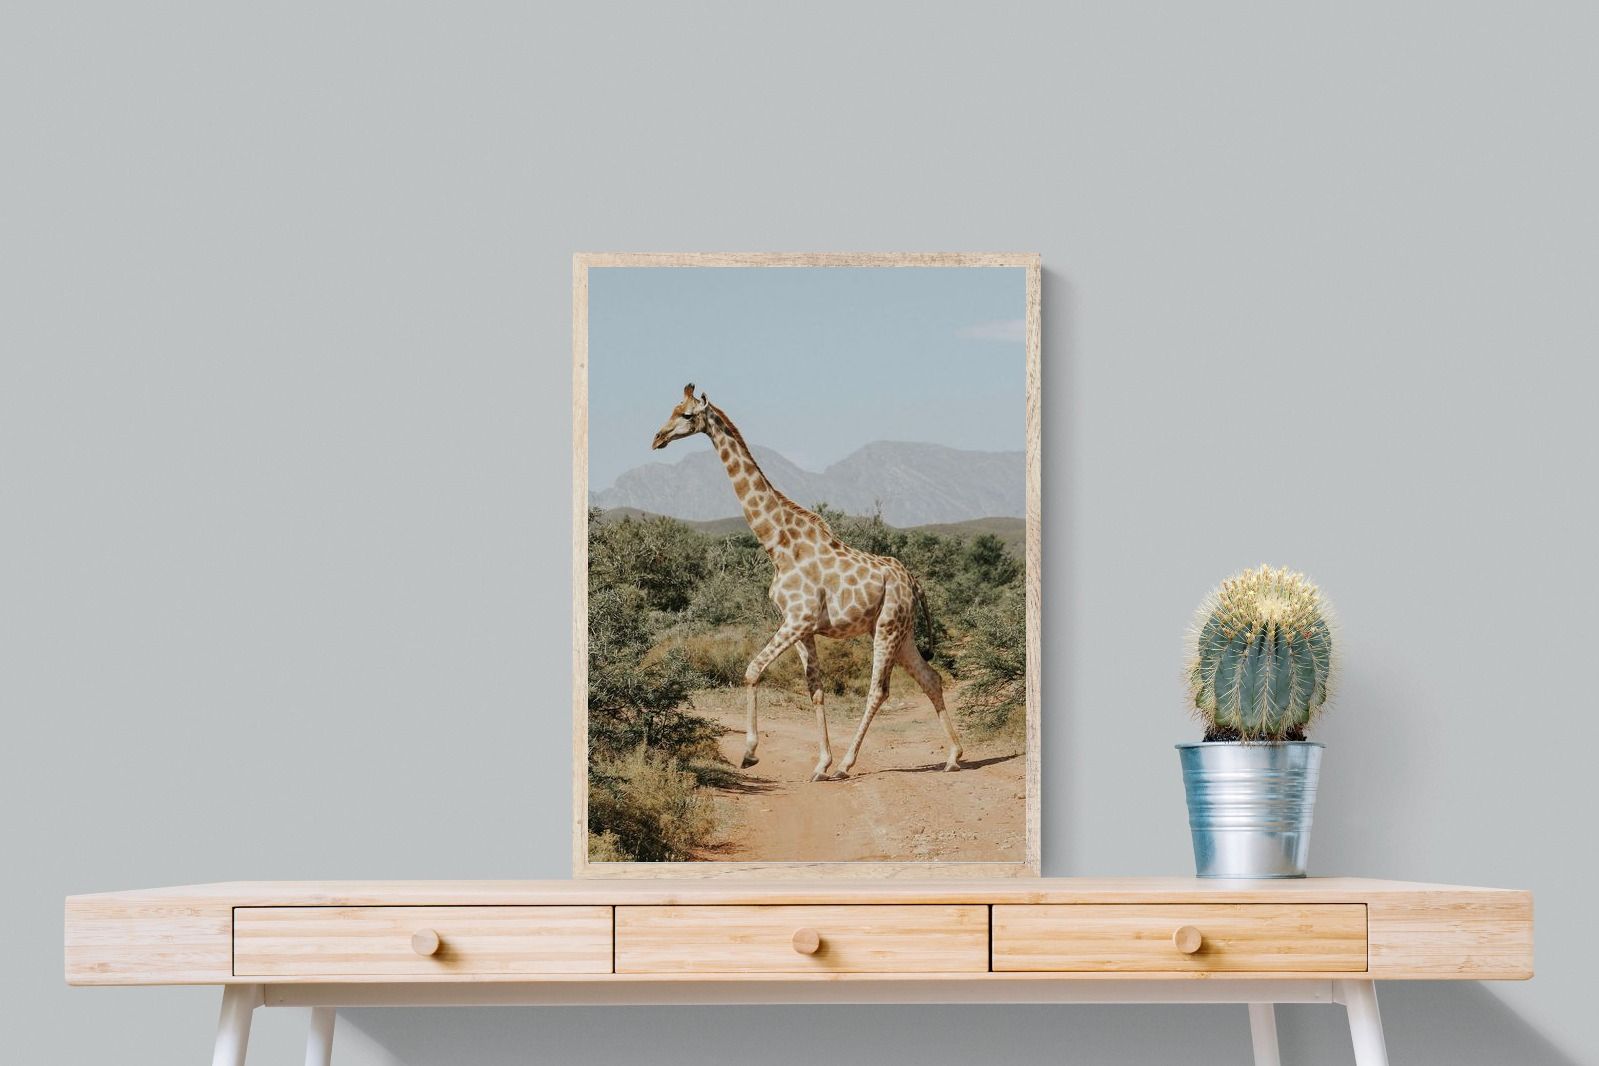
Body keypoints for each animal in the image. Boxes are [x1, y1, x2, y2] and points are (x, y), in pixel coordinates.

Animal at [651, 384, 964, 782]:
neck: (778, 544)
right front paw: (820, 764)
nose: (657, 438)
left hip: (887, 626)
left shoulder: (798, 619)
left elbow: (752, 670)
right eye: (672, 409)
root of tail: (913, 582)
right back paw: (953, 755)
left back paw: (848, 764)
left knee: (879, 690)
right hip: (902, 632)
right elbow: (815, 689)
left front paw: (750, 753)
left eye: (688, 415)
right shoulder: (802, 628)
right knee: (931, 678)